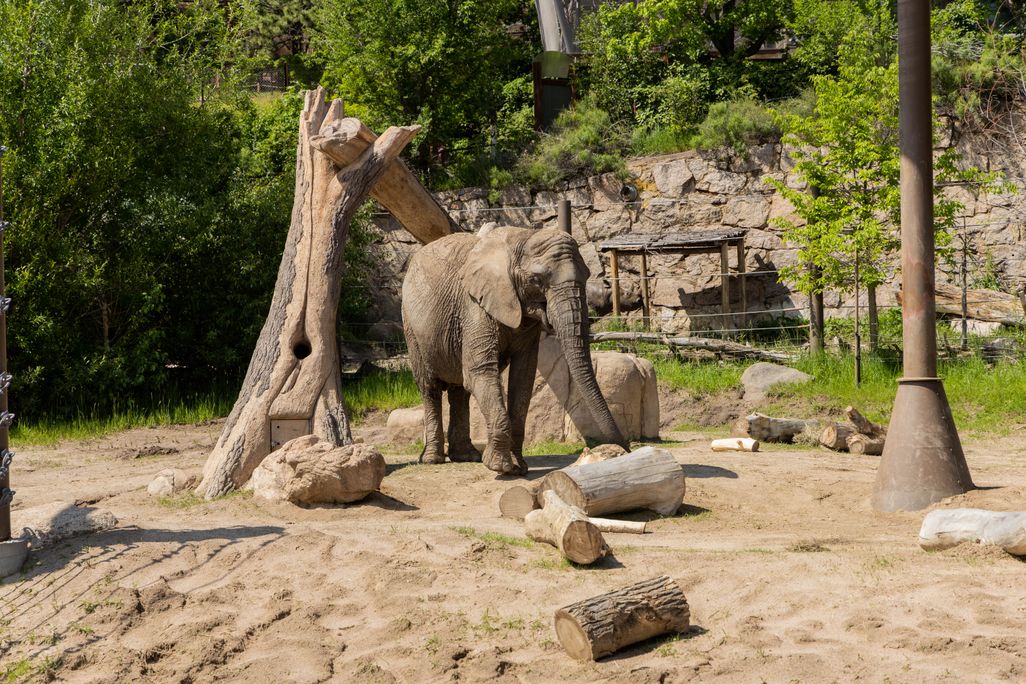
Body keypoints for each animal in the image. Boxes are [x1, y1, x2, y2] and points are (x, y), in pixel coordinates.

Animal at [401, 226, 629, 476]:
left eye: (587, 276)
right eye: (536, 280)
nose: (626, 448)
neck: (523, 238)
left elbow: (523, 377)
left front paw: (518, 467)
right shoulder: (474, 306)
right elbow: (481, 371)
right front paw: (500, 467)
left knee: (460, 389)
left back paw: (466, 456)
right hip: (411, 326)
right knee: (430, 387)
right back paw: (432, 459)